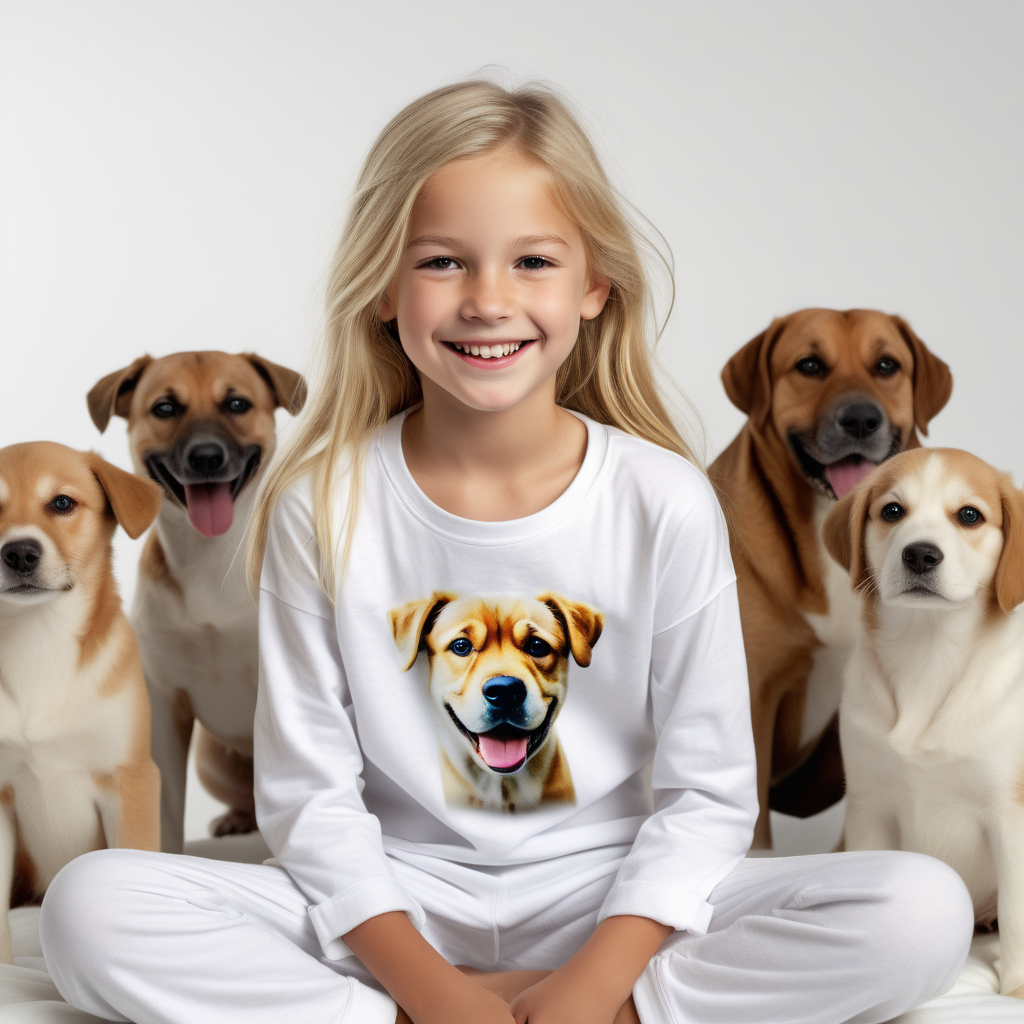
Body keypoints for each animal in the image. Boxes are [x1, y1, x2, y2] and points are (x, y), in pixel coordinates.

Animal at [88, 348, 305, 851]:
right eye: (165, 408)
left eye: (237, 404)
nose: (206, 457)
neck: (211, 557)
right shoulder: (165, 709)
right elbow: (164, 813)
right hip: (211, 762)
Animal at [819, 448, 1024, 991]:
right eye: (892, 511)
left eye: (969, 515)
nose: (920, 555)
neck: (928, 654)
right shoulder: (868, 808)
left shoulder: (1010, 817)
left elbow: (1018, 919)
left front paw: (1015, 989)